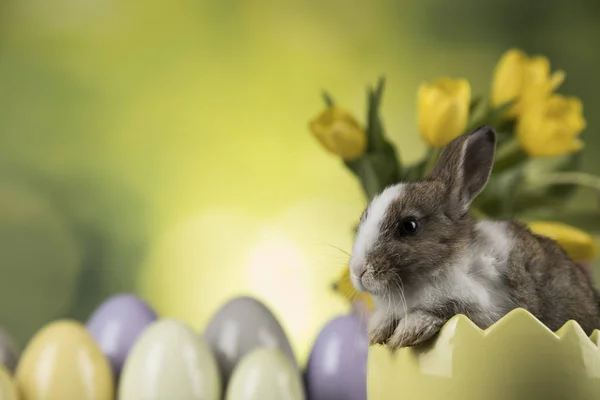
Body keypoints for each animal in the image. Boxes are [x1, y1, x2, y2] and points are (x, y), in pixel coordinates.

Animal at [350, 125, 600, 350]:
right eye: (363, 217)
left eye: (409, 226)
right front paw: (377, 332)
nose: (359, 271)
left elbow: (441, 311)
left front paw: (408, 332)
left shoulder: (483, 310)